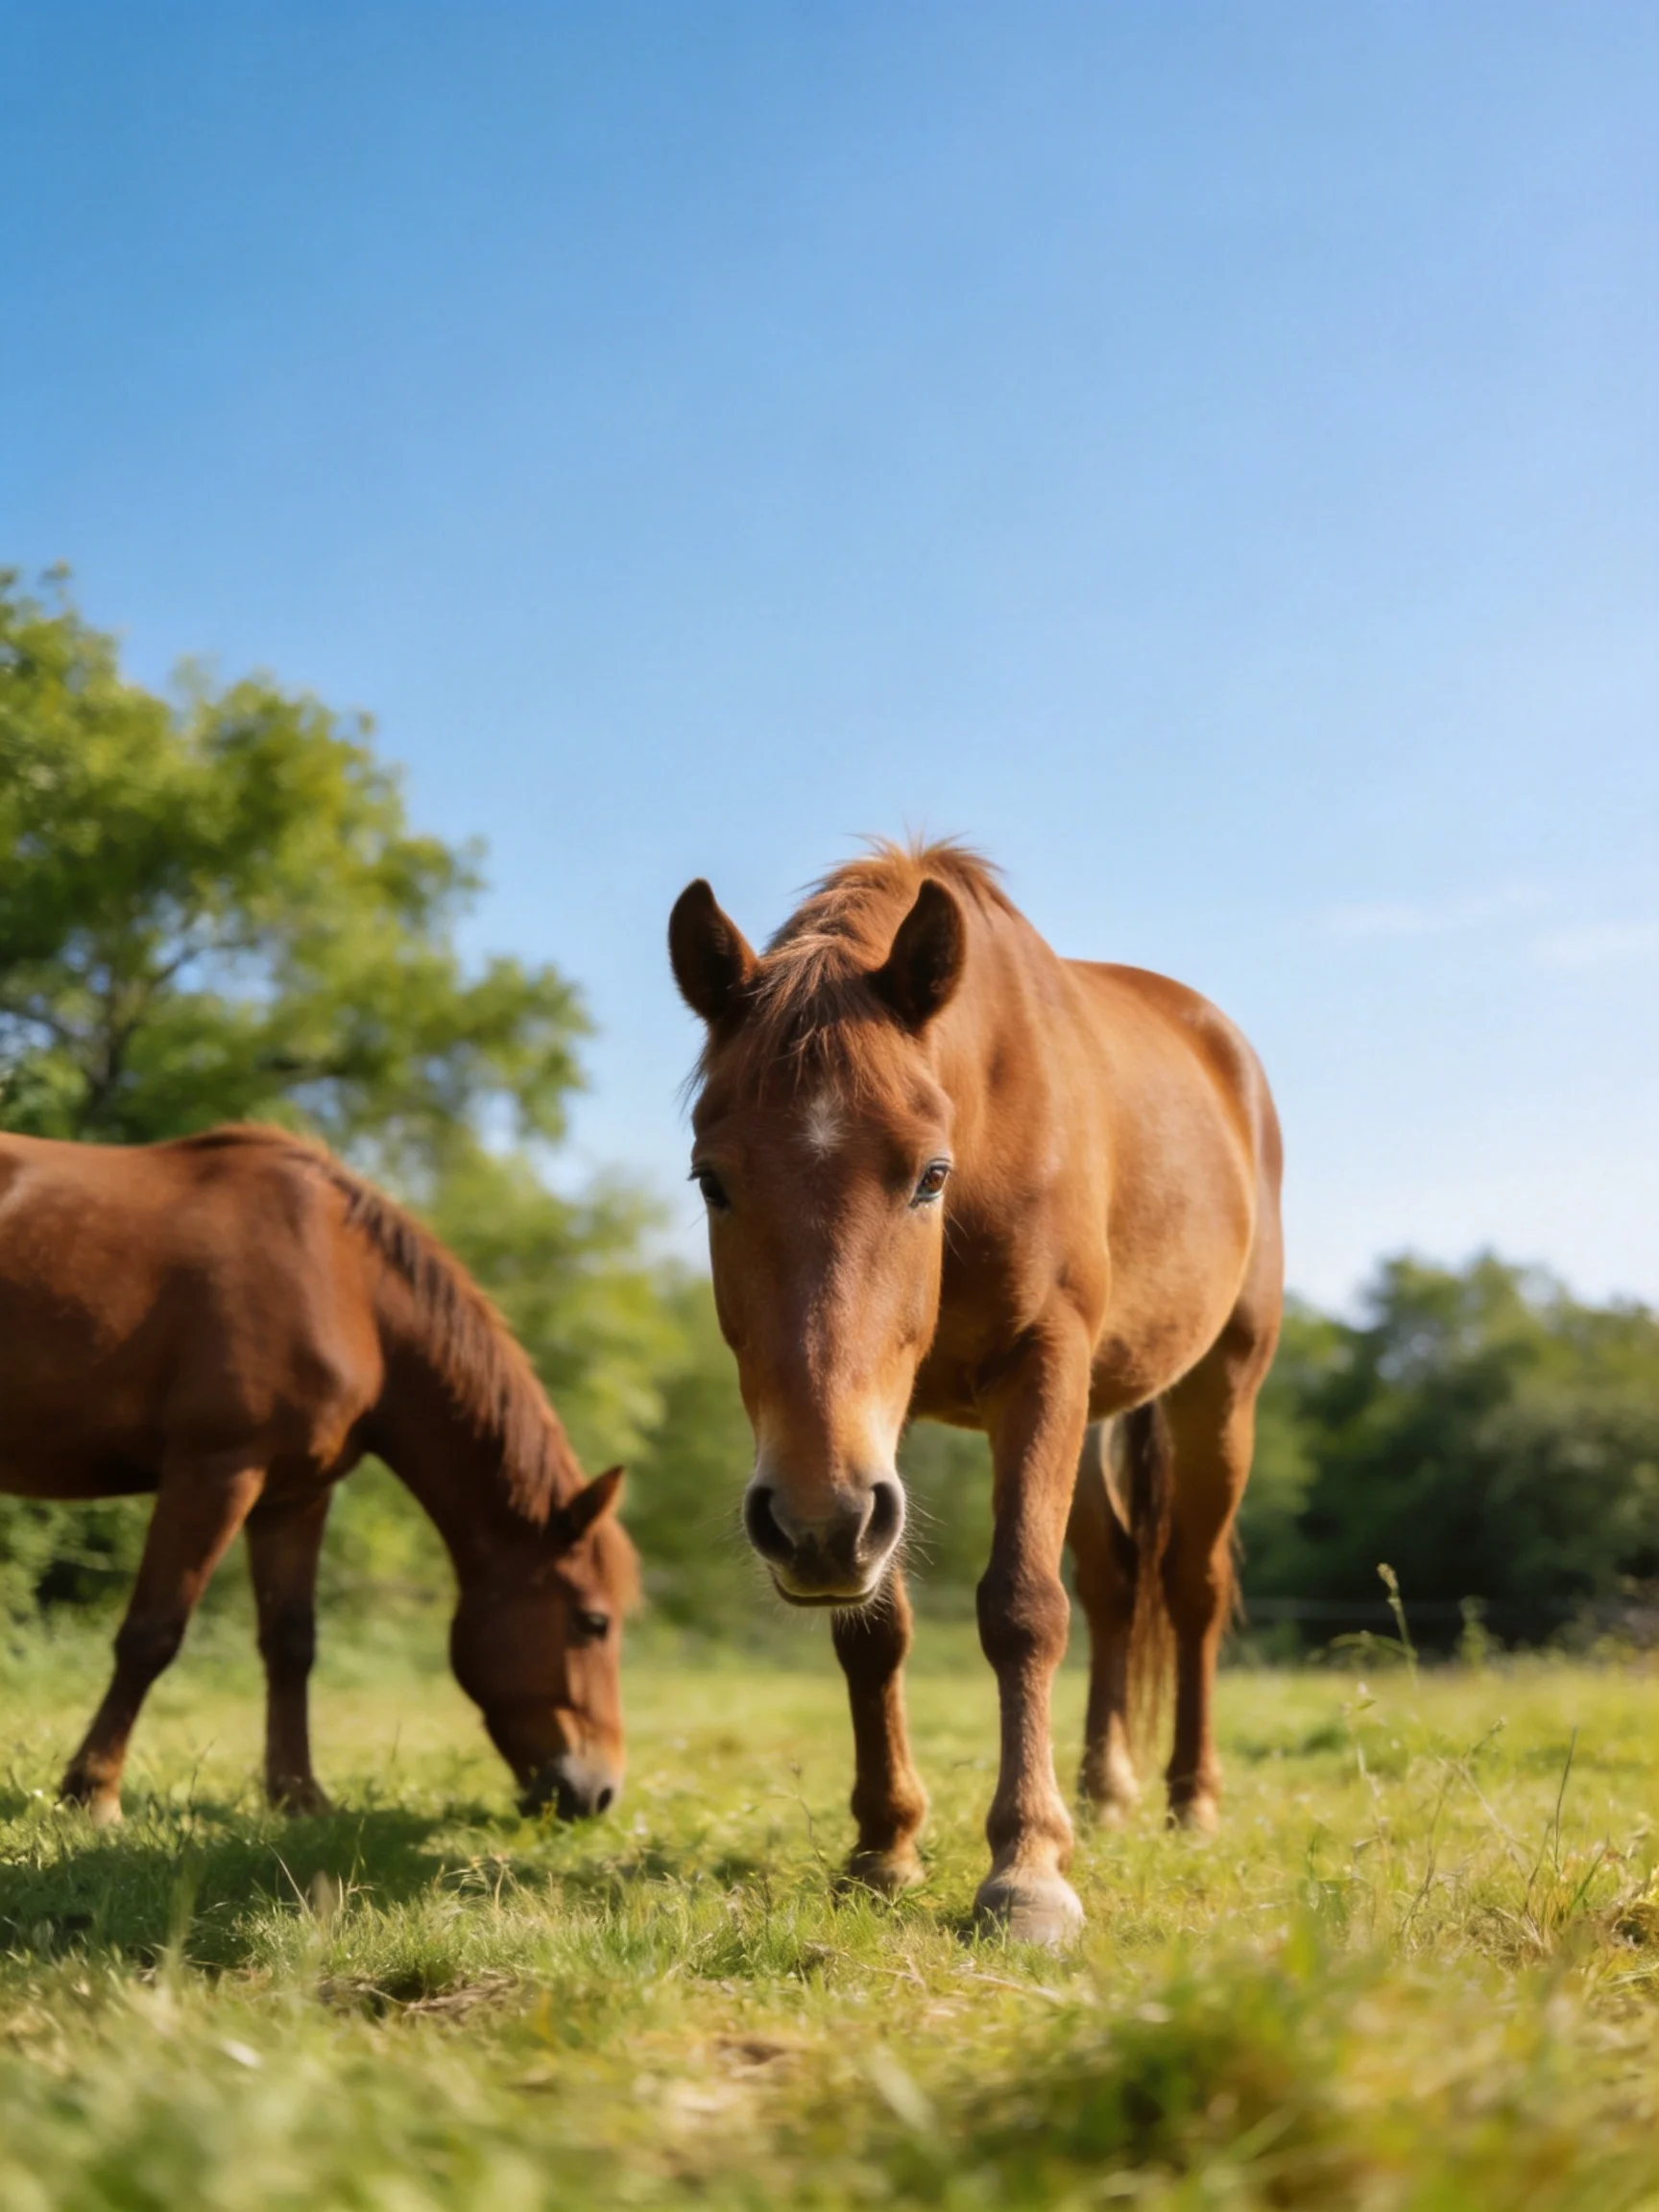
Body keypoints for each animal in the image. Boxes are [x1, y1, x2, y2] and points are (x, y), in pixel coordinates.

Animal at [0, 1124, 638, 1826]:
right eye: (593, 1622)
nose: (599, 1792)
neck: (346, 1284)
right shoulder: (215, 1472)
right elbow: (152, 1634)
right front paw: (93, 1792)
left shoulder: (294, 1496)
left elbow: (291, 1644)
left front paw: (299, 1795)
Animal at [669, 841, 1283, 1944]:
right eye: (712, 1181)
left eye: (928, 1174)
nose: (812, 1524)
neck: (993, 1123)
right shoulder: (877, 1437)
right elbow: (879, 1630)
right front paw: (885, 1846)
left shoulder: (1041, 1369)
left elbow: (1023, 1606)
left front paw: (1027, 1869)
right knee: (1118, 1582)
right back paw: (1107, 1791)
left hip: (1220, 1389)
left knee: (1192, 1587)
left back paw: (1191, 1800)